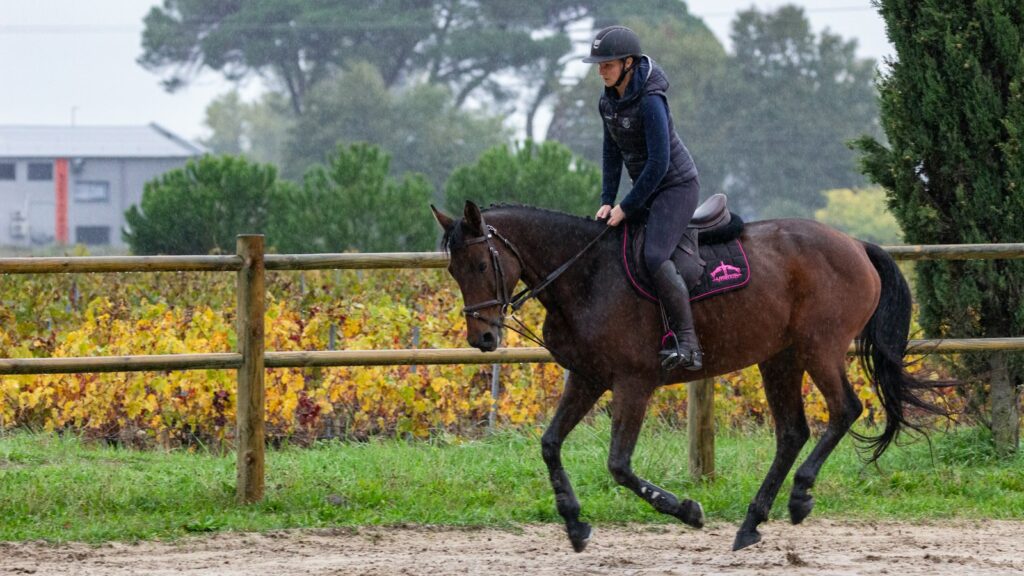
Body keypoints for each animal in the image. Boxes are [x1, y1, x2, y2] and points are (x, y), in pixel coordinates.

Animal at [431, 200, 942, 552]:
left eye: (481, 264)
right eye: (453, 270)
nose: (482, 338)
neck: (586, 274)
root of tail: (856, 245)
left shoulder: (633, 384)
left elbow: (619, 465)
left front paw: (688, 511)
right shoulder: (587, 378)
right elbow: (551, 444)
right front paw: (574, 525)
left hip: (820, 348)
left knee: (844, 410)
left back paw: (799, 497)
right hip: (780, 358)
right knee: (793, 432)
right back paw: (752, 523)